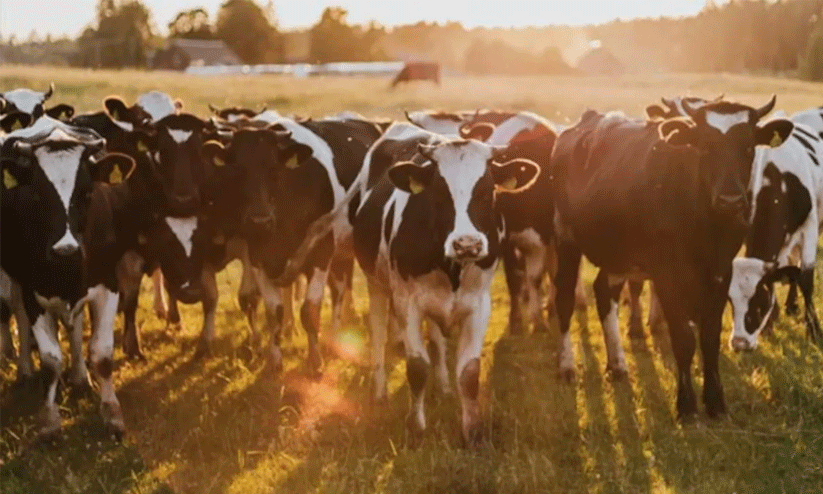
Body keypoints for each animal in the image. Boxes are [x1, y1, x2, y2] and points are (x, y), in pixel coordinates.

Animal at [1, 116, 135, 438]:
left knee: (75, 328)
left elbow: (102, 354)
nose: (66, 250)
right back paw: (25, 369)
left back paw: (79, 376)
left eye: (87, 193)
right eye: (38, 195)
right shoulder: (32, 292)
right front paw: (49, 420)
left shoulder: (107, 286)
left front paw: (112, 414)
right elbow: (50, 361)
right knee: (19, 315)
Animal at [351, 122, 539, 445]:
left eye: (487, 190)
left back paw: (444, 387)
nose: (467, 244)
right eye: (439, 191)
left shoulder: (479, 304)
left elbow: (469, 372)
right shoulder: (407, 303)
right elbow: (417, 367)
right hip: (376, 283)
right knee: (377, 334)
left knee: (438, 342)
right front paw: (416, 429)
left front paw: (472, 432)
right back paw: (379, 392)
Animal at [550, 96, 793, 421]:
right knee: (564, 298)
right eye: (704, 146)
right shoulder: (666, 272)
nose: (729, 200)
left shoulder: (721, 270)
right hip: (565, 237)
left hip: (618, 253)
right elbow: (684, 338)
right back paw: (566, 365)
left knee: (604, 293)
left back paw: (617, 363)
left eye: (749, 147)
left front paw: (716, 403)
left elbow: (710, 337)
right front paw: (686, 405)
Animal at [728, 119, 822, 350]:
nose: (740, 343)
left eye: (760, 301)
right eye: (730, 301)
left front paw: (814, 330)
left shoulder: (810, 226)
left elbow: (806, 278)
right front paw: (770, 324)